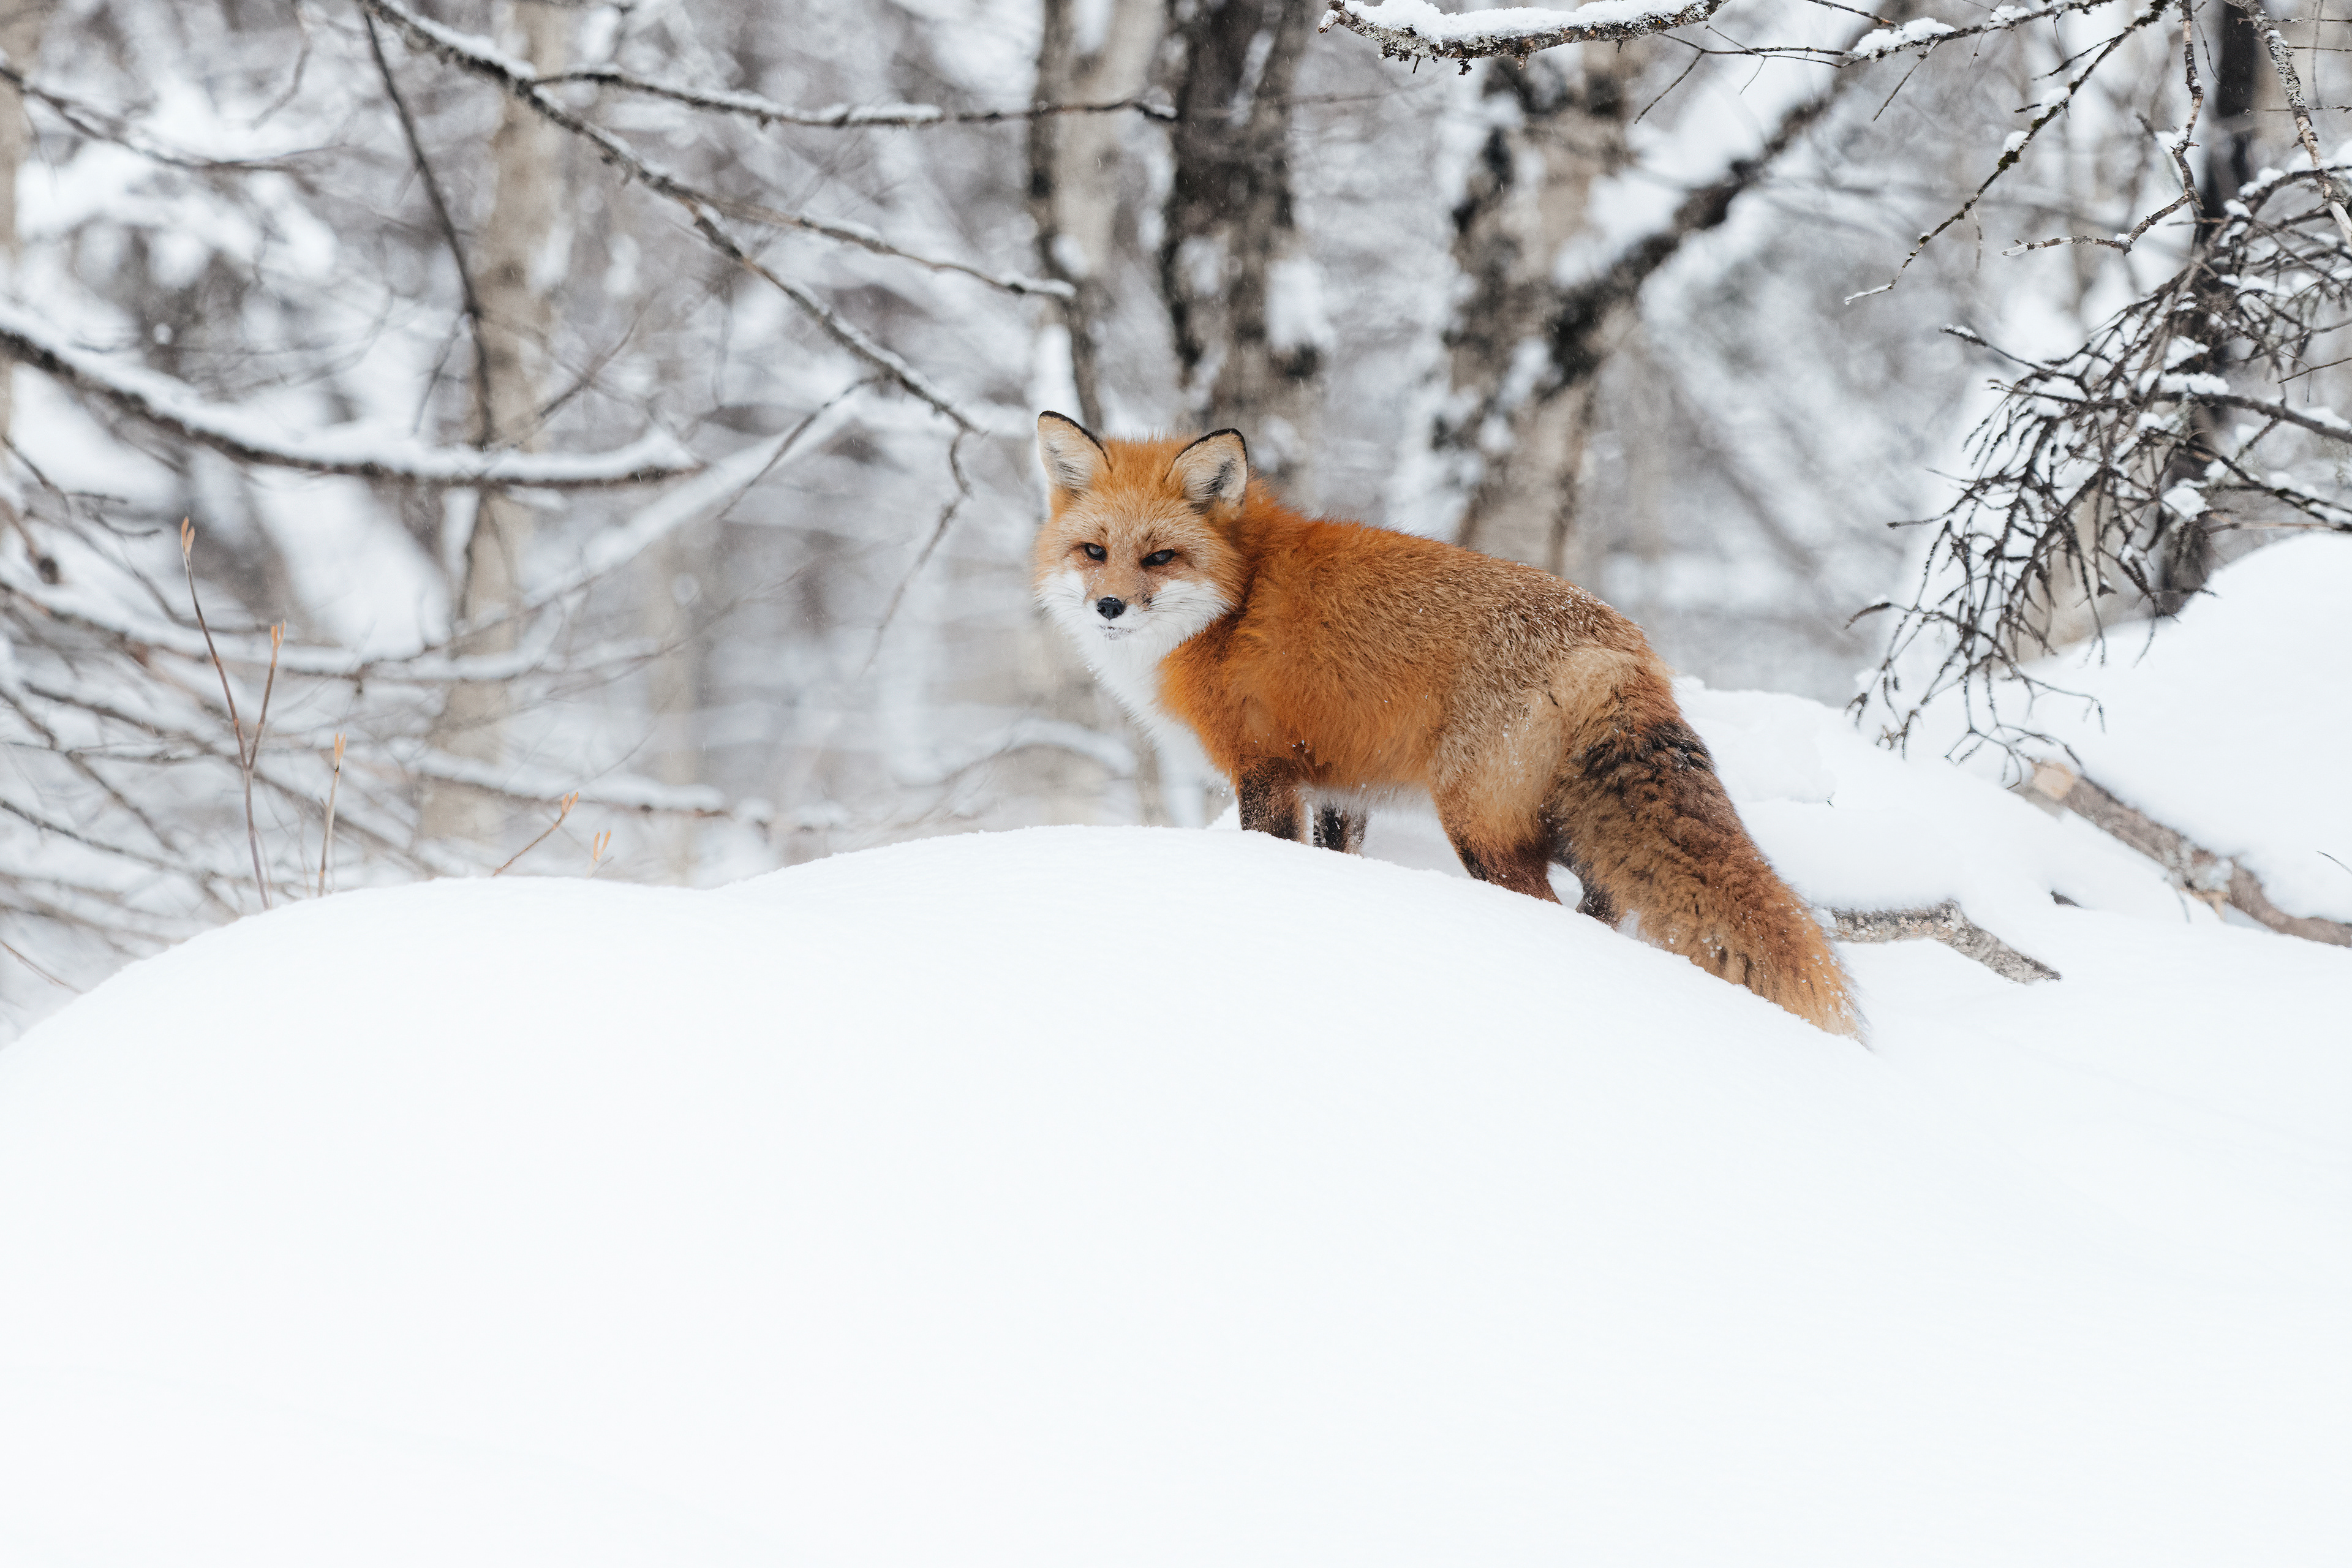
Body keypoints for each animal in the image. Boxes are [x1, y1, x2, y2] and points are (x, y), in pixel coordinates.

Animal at [1031, 411, 1861, 1038]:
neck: (1233, 605)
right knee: (1607, 897)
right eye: (1094, 551)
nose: (1109, 607)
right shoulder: (1341, 787)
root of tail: (1614, 642)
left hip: (1480, 827)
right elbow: (1339, 856)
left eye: (1161, 557)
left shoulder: (1264, 771)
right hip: (1560, 823)